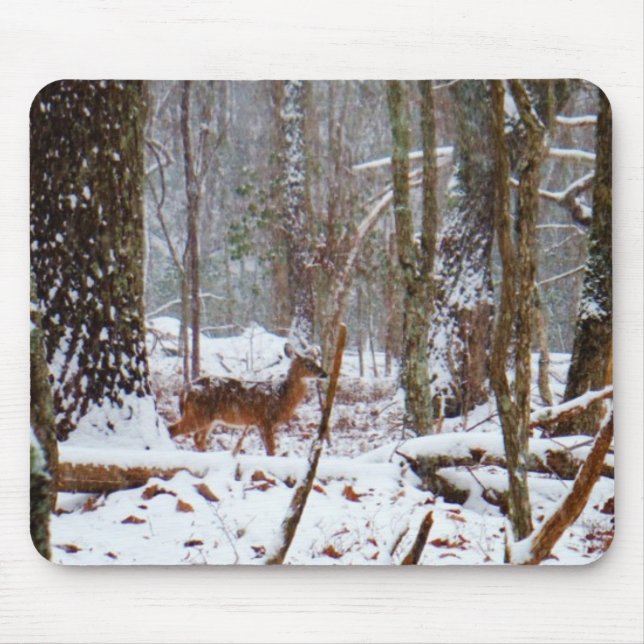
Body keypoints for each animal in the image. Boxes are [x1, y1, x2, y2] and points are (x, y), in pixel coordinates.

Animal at [168, 343, 328, 455]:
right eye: (308, 365)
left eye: (318, 363)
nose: (325, 374)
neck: (281, 395)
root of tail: (187, 388)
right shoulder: (265, 419)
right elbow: (271, 450)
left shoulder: (259, 423)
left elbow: (268, 449)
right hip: (198, 414)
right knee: (173, 429)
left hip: (208, 419)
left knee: (197, 438)